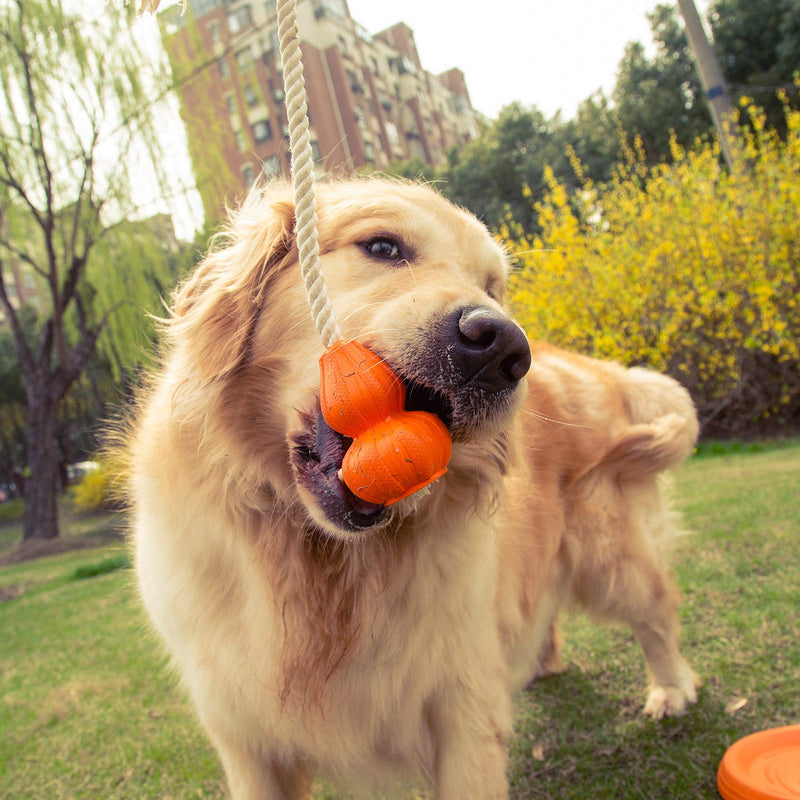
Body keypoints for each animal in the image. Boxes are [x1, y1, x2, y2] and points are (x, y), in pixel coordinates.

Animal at [126, 178, 700, 796]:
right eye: (382, 246)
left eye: (492, 287)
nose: (503, 347)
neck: (321, 557)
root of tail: (600, 368)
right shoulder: (244, 736)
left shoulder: (463, 710)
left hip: (610, 554)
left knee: (657, 609)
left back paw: (672, 688)